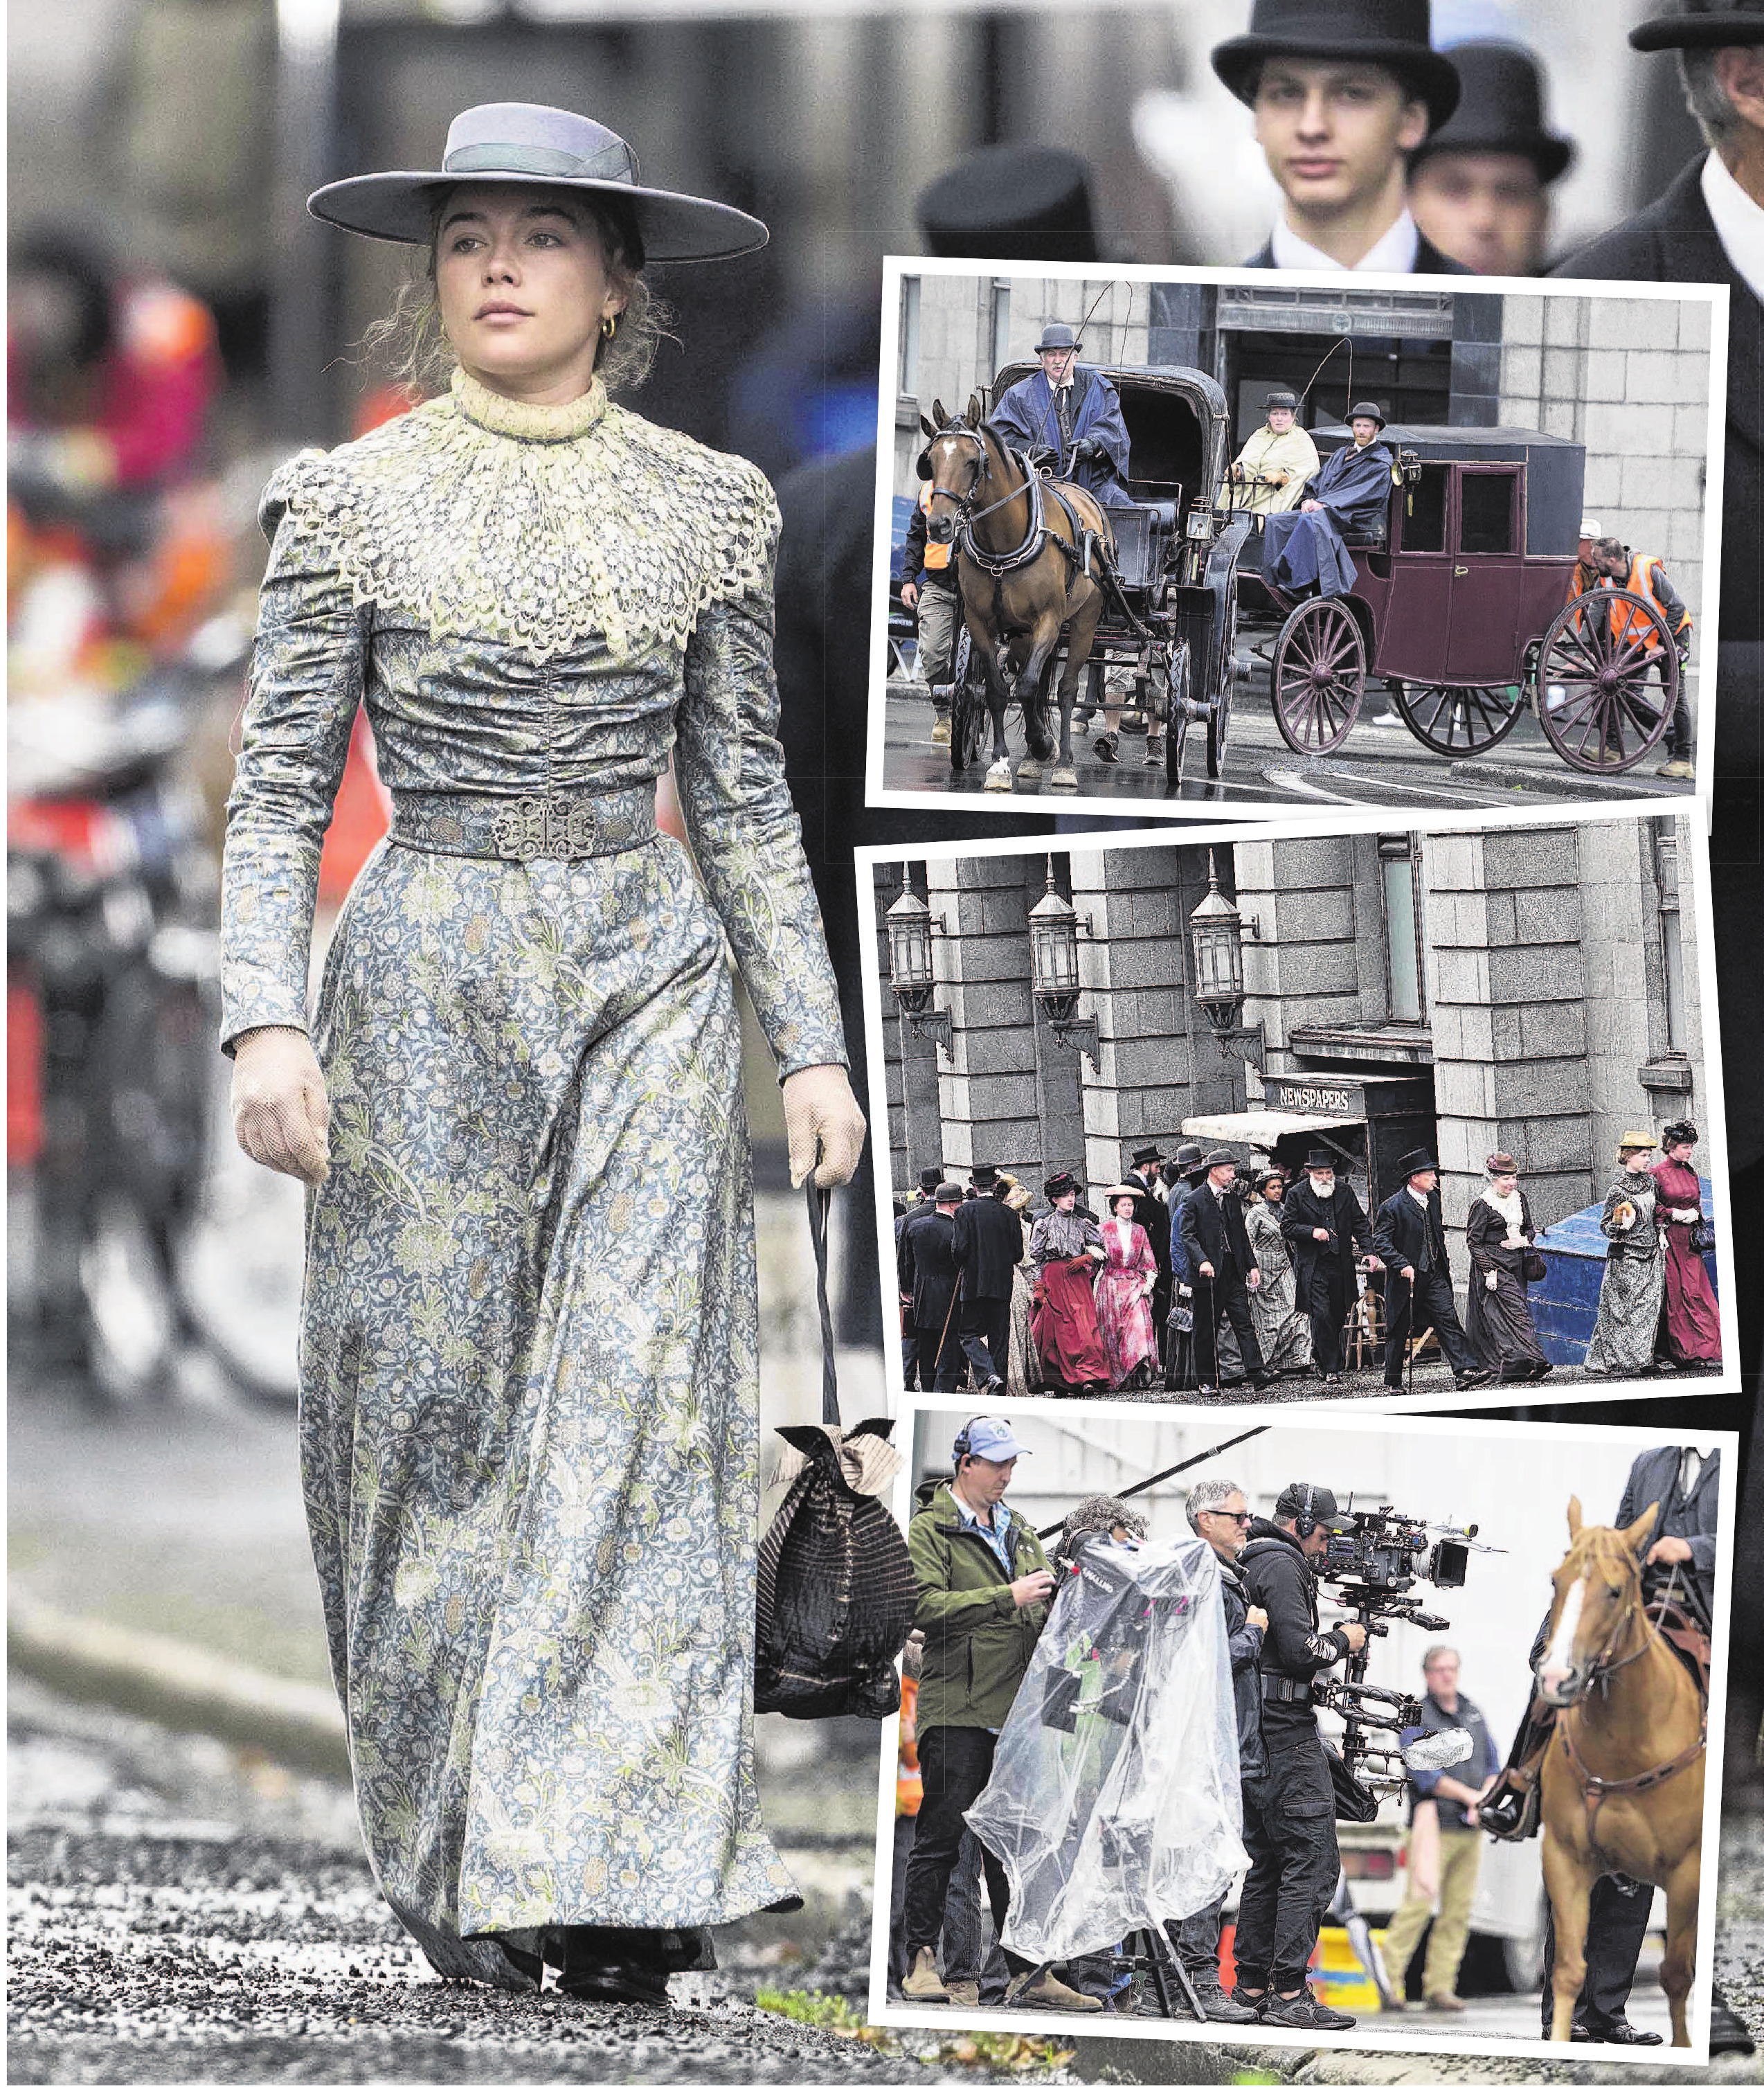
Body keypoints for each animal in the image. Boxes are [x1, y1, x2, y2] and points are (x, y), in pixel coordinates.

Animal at [914, 392, 1110, 789]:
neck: (1003, 543)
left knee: (1066, 689)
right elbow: (996, 690)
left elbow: (1030, 686)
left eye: (973, 461)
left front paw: (1042, 745)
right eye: (931, 460)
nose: (939, 525)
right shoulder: (980, 622)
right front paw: (1002, 762)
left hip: (1084, 620)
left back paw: (1063, 762)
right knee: (1026, 675)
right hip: (1020, 631)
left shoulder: (1048, 620)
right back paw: (1034, 759)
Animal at [1536, 1503, 1703, 2053]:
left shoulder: (1688, 1873)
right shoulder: (1565, 1860)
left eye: (1613, 1591)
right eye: (1556, 1581)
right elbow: (1568, 1969)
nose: (1555, 1678)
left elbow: (1677, 1974)